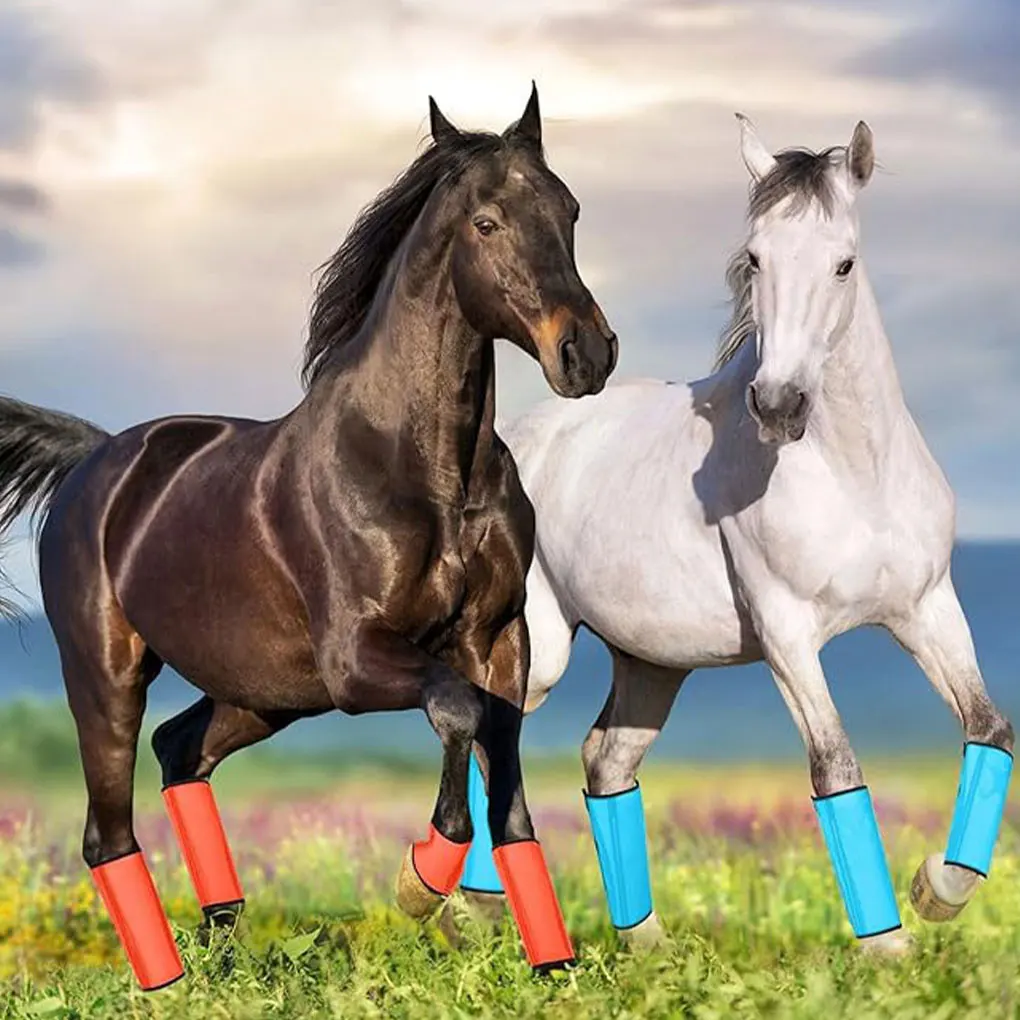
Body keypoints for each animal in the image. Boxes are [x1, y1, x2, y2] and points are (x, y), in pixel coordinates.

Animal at [0, 84, 618, 990]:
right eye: (487, 222)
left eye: (570, 209)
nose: (587, 354)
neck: (425, 470)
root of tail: (95, 459)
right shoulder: (358, 659)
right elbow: (457, 712)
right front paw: (419, 881)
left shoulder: (497, 640)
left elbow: (507, 790)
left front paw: (552, 967)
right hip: (108, 677)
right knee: (106, 832)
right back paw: (168, 981)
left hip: (266, 693)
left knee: (181, 750)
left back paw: (224, 953)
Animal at [452, 115, 1014, 957]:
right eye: (755, 258)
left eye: (844, 262)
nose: (779, 404)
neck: (854, 474)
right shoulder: (788, 635)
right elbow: (835, 766)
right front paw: (888, 946)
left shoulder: (926, 610)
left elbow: (990, 729)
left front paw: (937, 890)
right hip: (541, 649)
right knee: (497, 740)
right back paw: (456, 900)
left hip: (653, 664)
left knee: (605, 760)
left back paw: (643, 942)